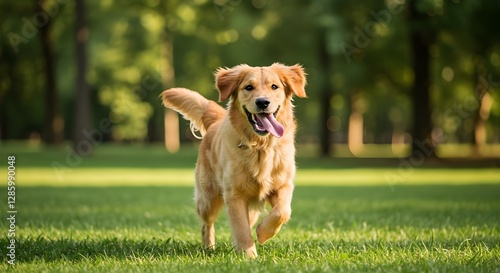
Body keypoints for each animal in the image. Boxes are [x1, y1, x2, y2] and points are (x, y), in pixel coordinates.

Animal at [162, 62, 306, 256]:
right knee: (206, 224)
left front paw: (263, 233)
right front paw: (249, 255)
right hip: (207, 198)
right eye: (249, 87)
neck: (260, 146)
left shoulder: (283, 185)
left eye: (274, 87)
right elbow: (241, 228)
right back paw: (208, 247)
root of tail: (217, 120)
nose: (262, 102)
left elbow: (282, 212)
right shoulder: (234, 194)